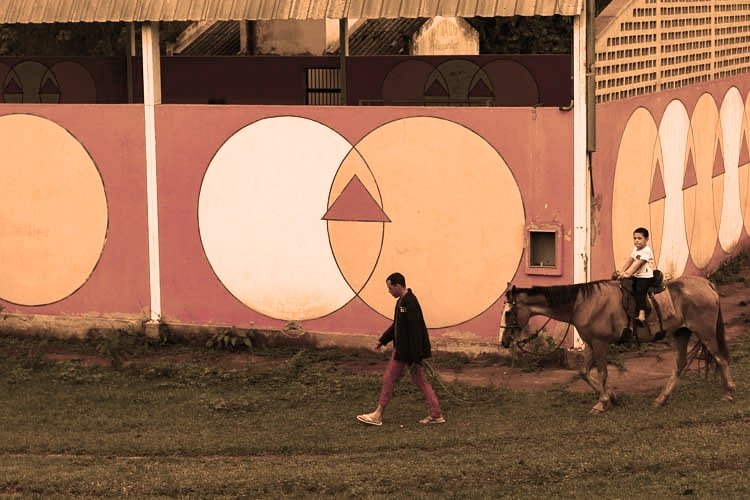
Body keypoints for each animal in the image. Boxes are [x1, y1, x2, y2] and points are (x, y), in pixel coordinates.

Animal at [500, 276, 736, 413]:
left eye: (509, 312)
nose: (504, 341)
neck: (584, 303)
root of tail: (706, 284)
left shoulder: (600, 343)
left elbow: (602, 372)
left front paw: (602, 402)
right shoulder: (590, 343)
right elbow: (584, 372)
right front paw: (611, 397)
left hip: (705, 332)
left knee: (720, 358)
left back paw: (728, 392)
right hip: (681, 333)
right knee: (679, 365)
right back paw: (661, 399)